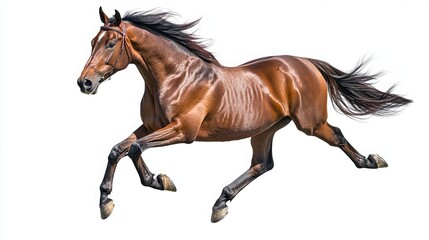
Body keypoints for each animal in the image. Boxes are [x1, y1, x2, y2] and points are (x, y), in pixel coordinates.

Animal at [77, 7, 412, 223]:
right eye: (92, 42)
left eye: (110, 43)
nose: (85, 83)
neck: (175, 76)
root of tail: (307, 63)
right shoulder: (150, 126)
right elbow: (118, 149)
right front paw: (106, 201)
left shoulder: (183, 131)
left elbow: (134, 149)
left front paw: (159, 181)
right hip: (265, 130)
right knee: (263, 164)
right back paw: (221, 203)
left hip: (310, 123)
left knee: (337, 137)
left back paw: (370, 161)